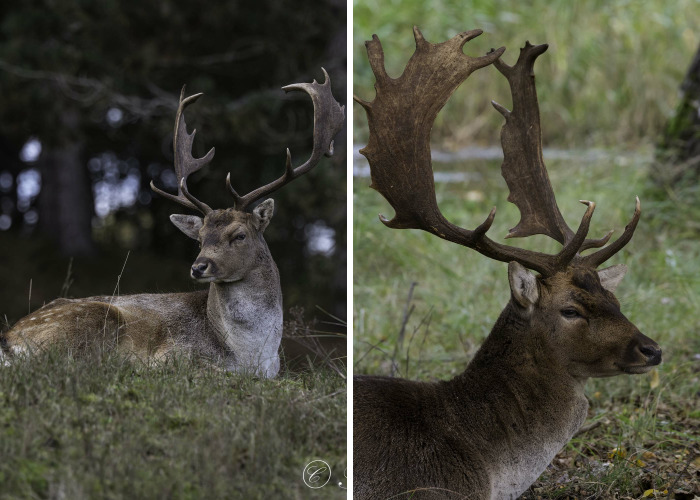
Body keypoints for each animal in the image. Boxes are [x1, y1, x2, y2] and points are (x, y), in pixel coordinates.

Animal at [0, 70, 344, 379]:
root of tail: (10, 339)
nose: (199, 267)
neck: (250, 353)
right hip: (88, 322)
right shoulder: (175, 354)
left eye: (240, 235)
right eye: (200, 238)